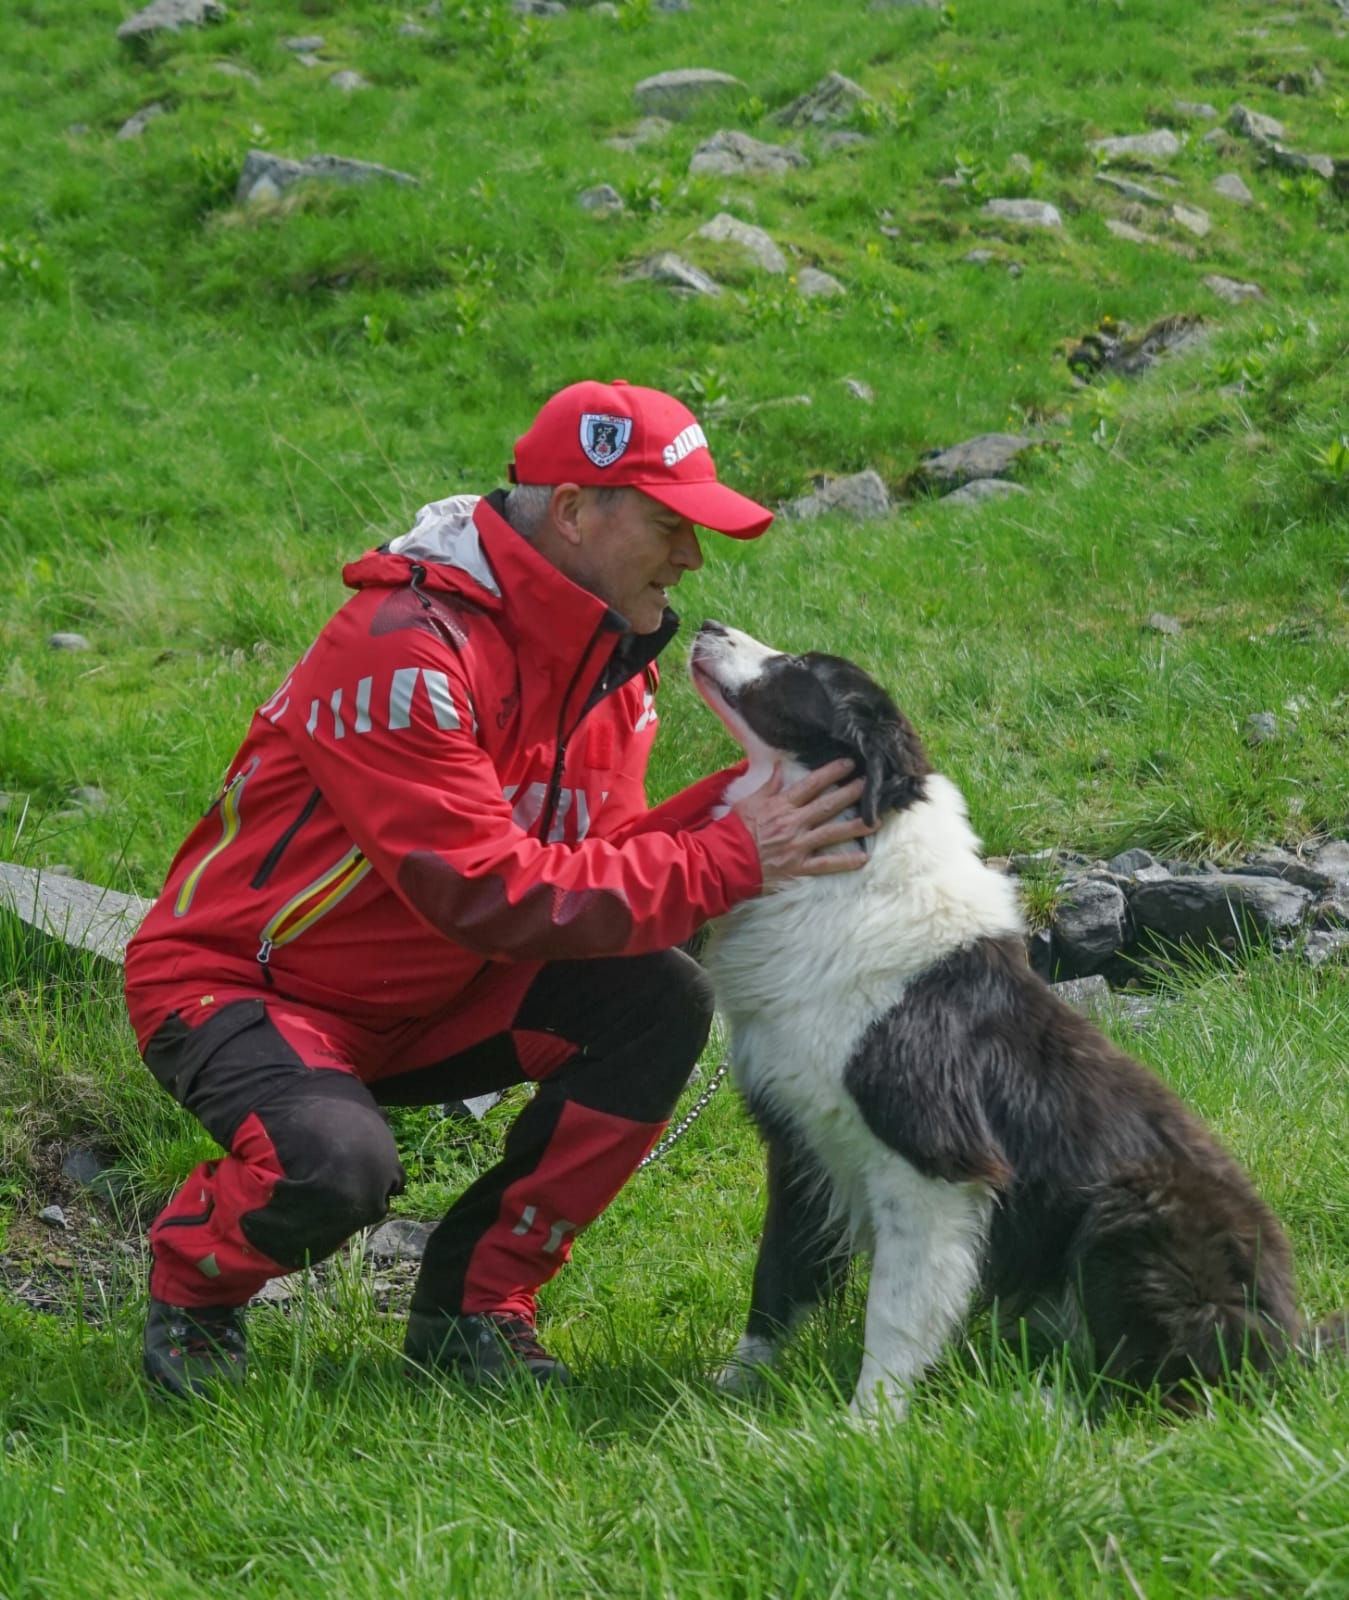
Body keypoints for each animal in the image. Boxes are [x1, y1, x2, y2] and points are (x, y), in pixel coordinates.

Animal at [697, 617, 1337, 1420]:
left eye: (801, 666)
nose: (705, 625)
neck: (851, 864)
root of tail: (1292, 1343)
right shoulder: (800, 1143)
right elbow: (778, 1277)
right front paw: (730, 1393)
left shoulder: (934, 1167)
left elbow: (895, 1312)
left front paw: (867, 1424)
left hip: (1125, 1210)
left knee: (1166, 1390)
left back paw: (1053, 1409)